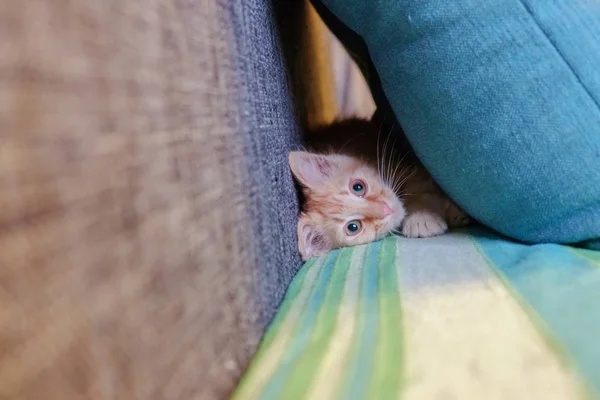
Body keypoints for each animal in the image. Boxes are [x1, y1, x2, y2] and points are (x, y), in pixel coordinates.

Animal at [288, 117, 472, 260]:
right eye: (353, 227)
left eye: (358, 187)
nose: (385, 210)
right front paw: (424, 218)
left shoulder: (403, 168)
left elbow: (417, 186)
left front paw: (424, 215)